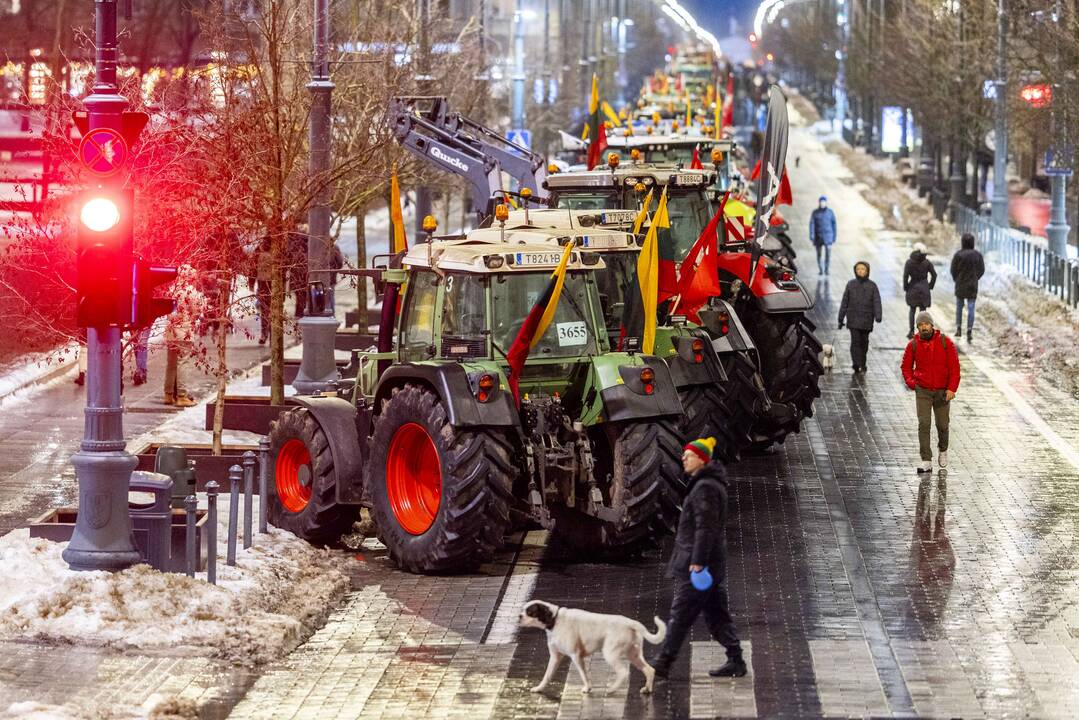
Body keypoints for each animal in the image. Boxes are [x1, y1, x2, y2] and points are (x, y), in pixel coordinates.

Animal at [515, 600, 664, 695]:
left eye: (530, 612)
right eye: (523, 610)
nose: (519, 616)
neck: (555, 620)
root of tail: (631, 622)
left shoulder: (576, 656)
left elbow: (584, 675)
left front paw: (587, 688)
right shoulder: (555, 657)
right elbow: (547, 675)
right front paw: (539, 688)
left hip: (610, 654)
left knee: (623, 672)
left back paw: (612, 689)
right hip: (634, 655)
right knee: (649, 670)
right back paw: (647, 689)